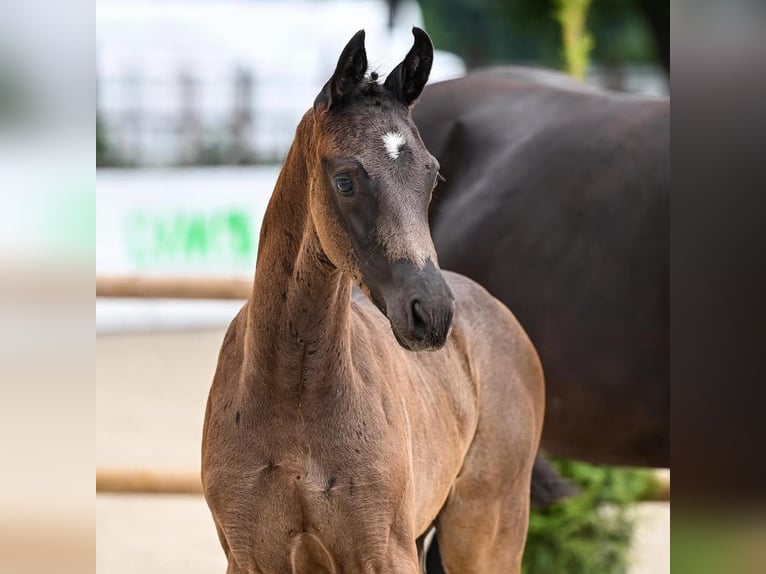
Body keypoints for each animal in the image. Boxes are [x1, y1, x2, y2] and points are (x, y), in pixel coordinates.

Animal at [201, 28, 544, 574]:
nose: (432, 313)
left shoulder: (386, 554)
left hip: (486, 533)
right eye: (345, 180)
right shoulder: (249, 557)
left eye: (432, 176)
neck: (292, 393)